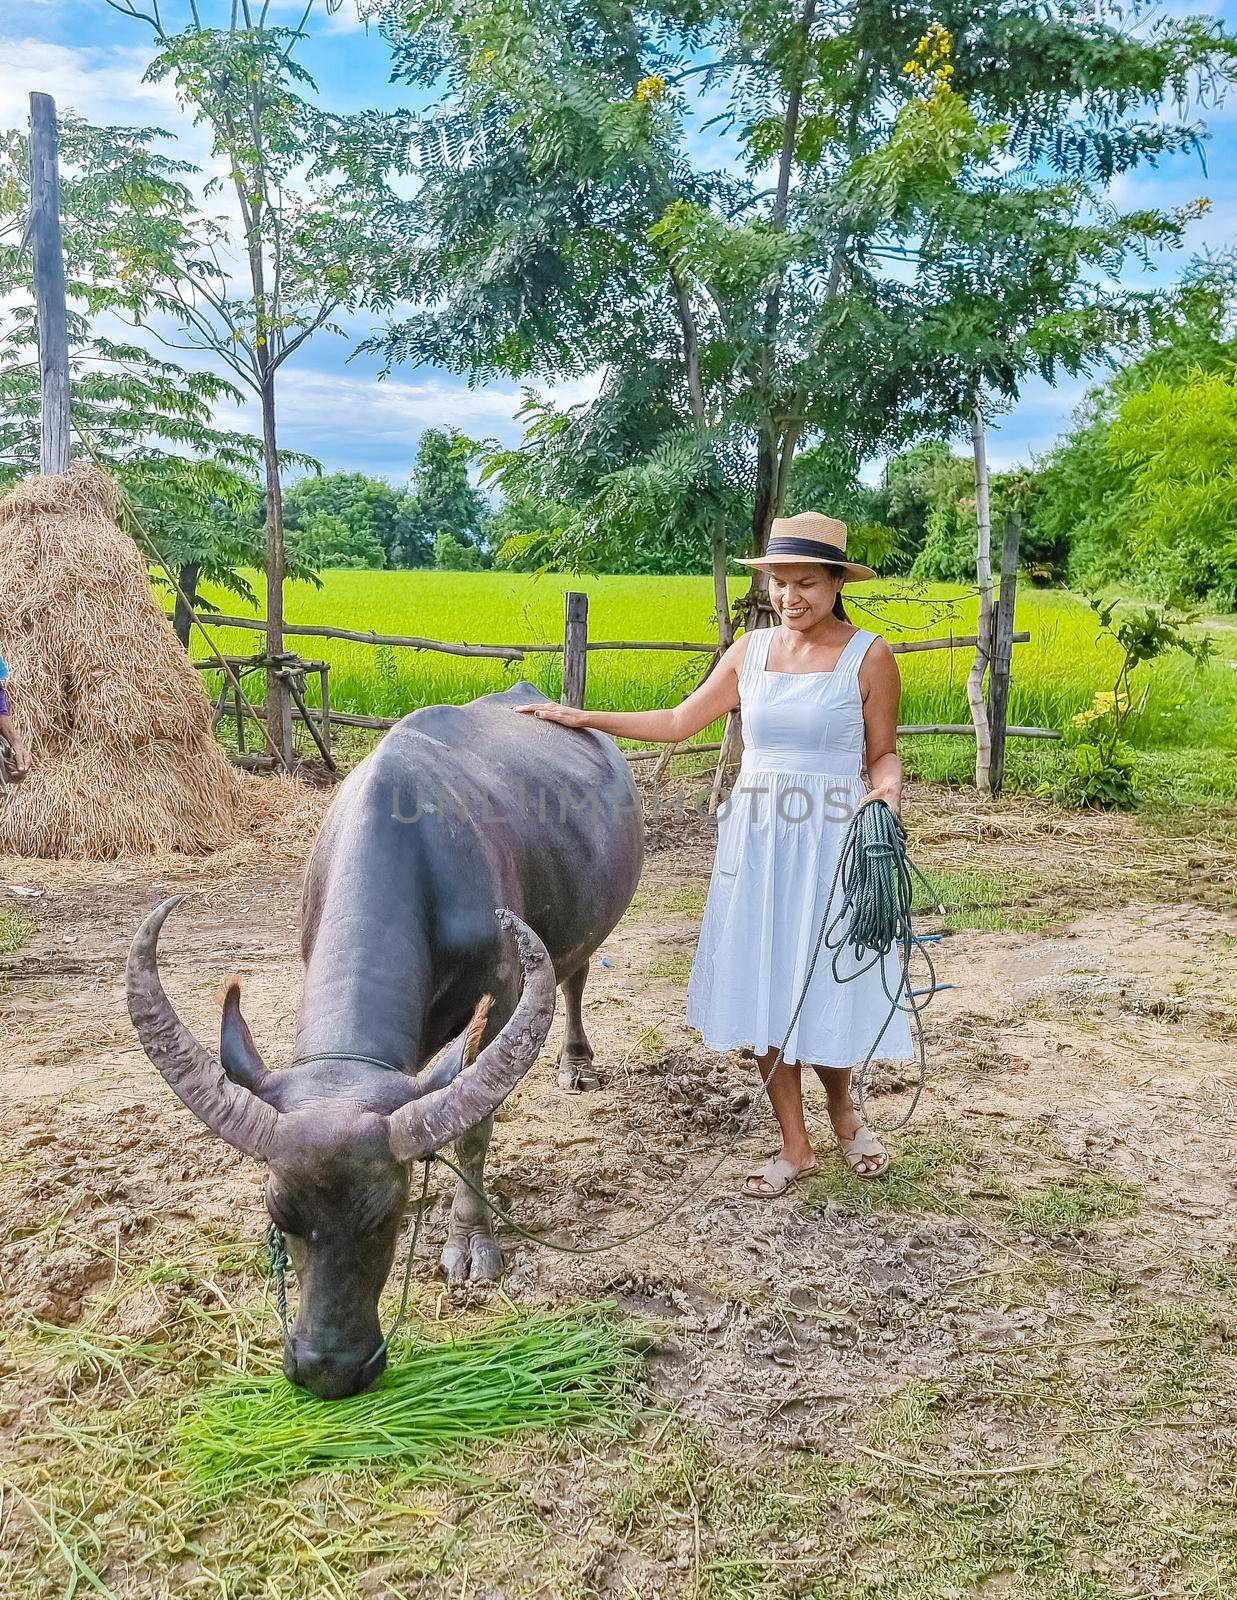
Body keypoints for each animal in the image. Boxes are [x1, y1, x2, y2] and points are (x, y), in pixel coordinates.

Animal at [128, 681, 646, 1395]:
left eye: (388, 1214)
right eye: (280, 1214)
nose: (330, 1369)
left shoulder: (505, 994)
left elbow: (474, 1132)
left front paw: (470, 1241)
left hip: (586, 933)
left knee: (575, 977)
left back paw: (576, 1062)